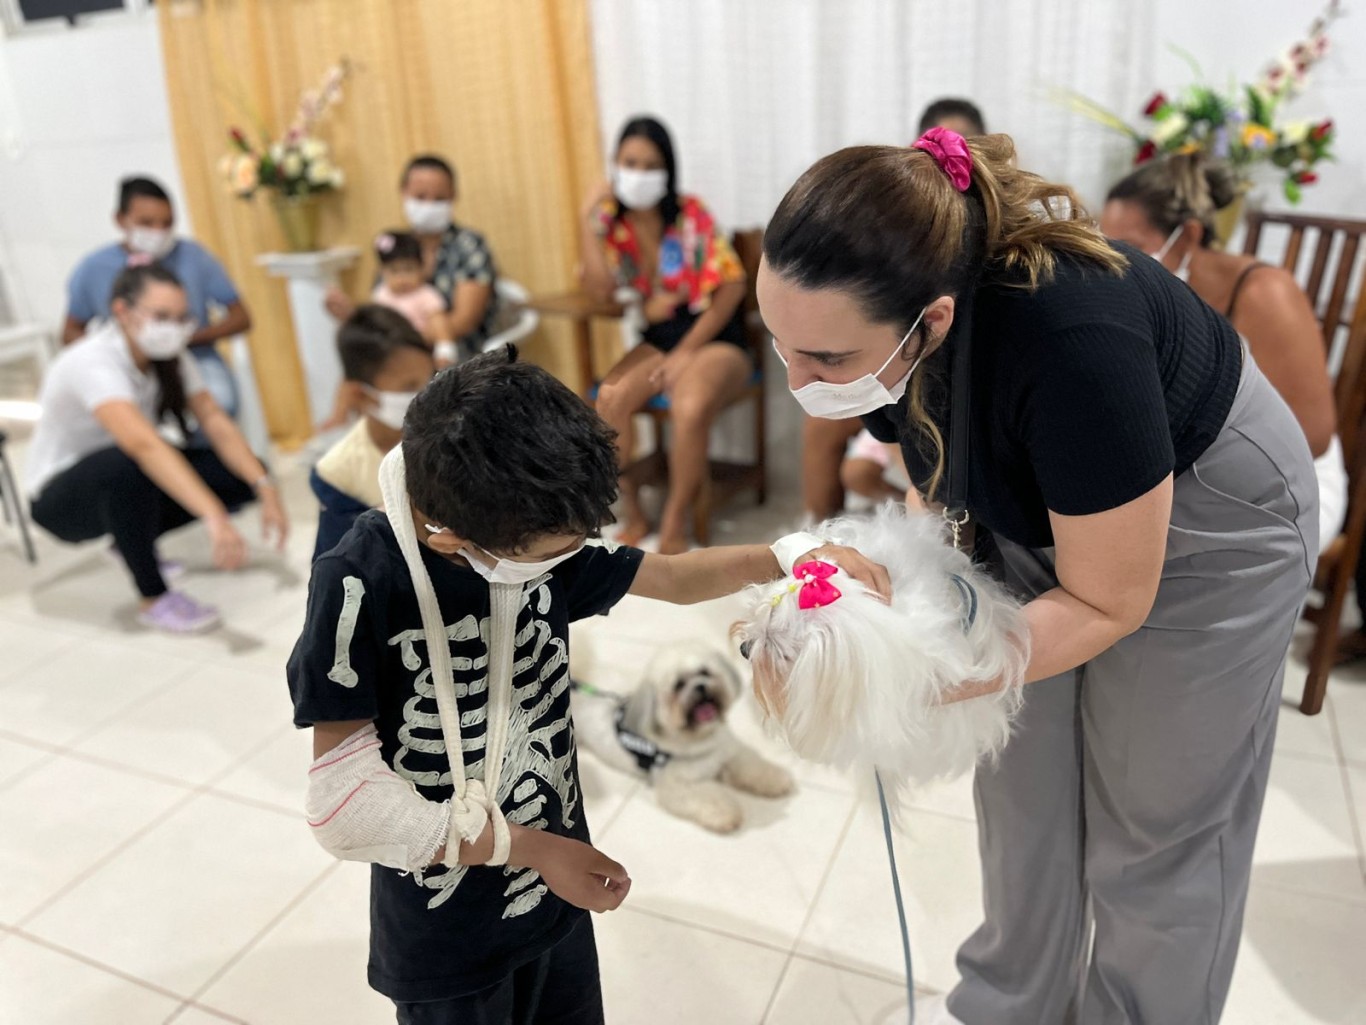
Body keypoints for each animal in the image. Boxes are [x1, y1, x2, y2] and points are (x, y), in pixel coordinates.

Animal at [570, 650, 797, 836]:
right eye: (678, 685)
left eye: (704, 672)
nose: (700, 686)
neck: (699, 740)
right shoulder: (677, 785)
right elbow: (708, 796)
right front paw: (724, 814)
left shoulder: (730, 752)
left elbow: (754, 767)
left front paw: (775, 780)